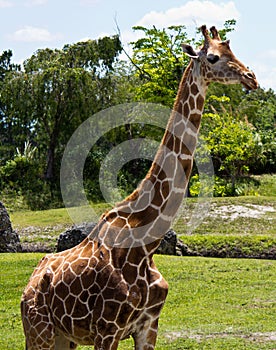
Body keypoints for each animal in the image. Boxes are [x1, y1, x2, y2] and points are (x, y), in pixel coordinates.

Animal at [20, 25, 258, 350]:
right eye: (212, 57)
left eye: (233, 50)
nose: (252, 77)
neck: (145, 247)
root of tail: (29, 284)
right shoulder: (106, 330)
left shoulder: (148, 325)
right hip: (38, 331)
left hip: (63, 337)